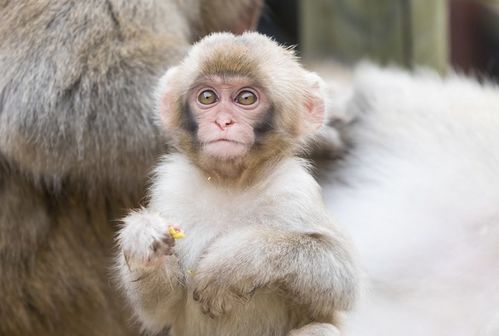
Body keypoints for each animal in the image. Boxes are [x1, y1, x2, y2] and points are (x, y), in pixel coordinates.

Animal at [117, 32, 360, 336]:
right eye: (207, 97)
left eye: (246, 98)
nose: (223, 122)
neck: (231, 182)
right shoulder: (171, 188)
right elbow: (159, 309)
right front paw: (142, 236)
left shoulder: (294, 189)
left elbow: (342, 279)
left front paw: (234, 262)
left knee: (321, 328)